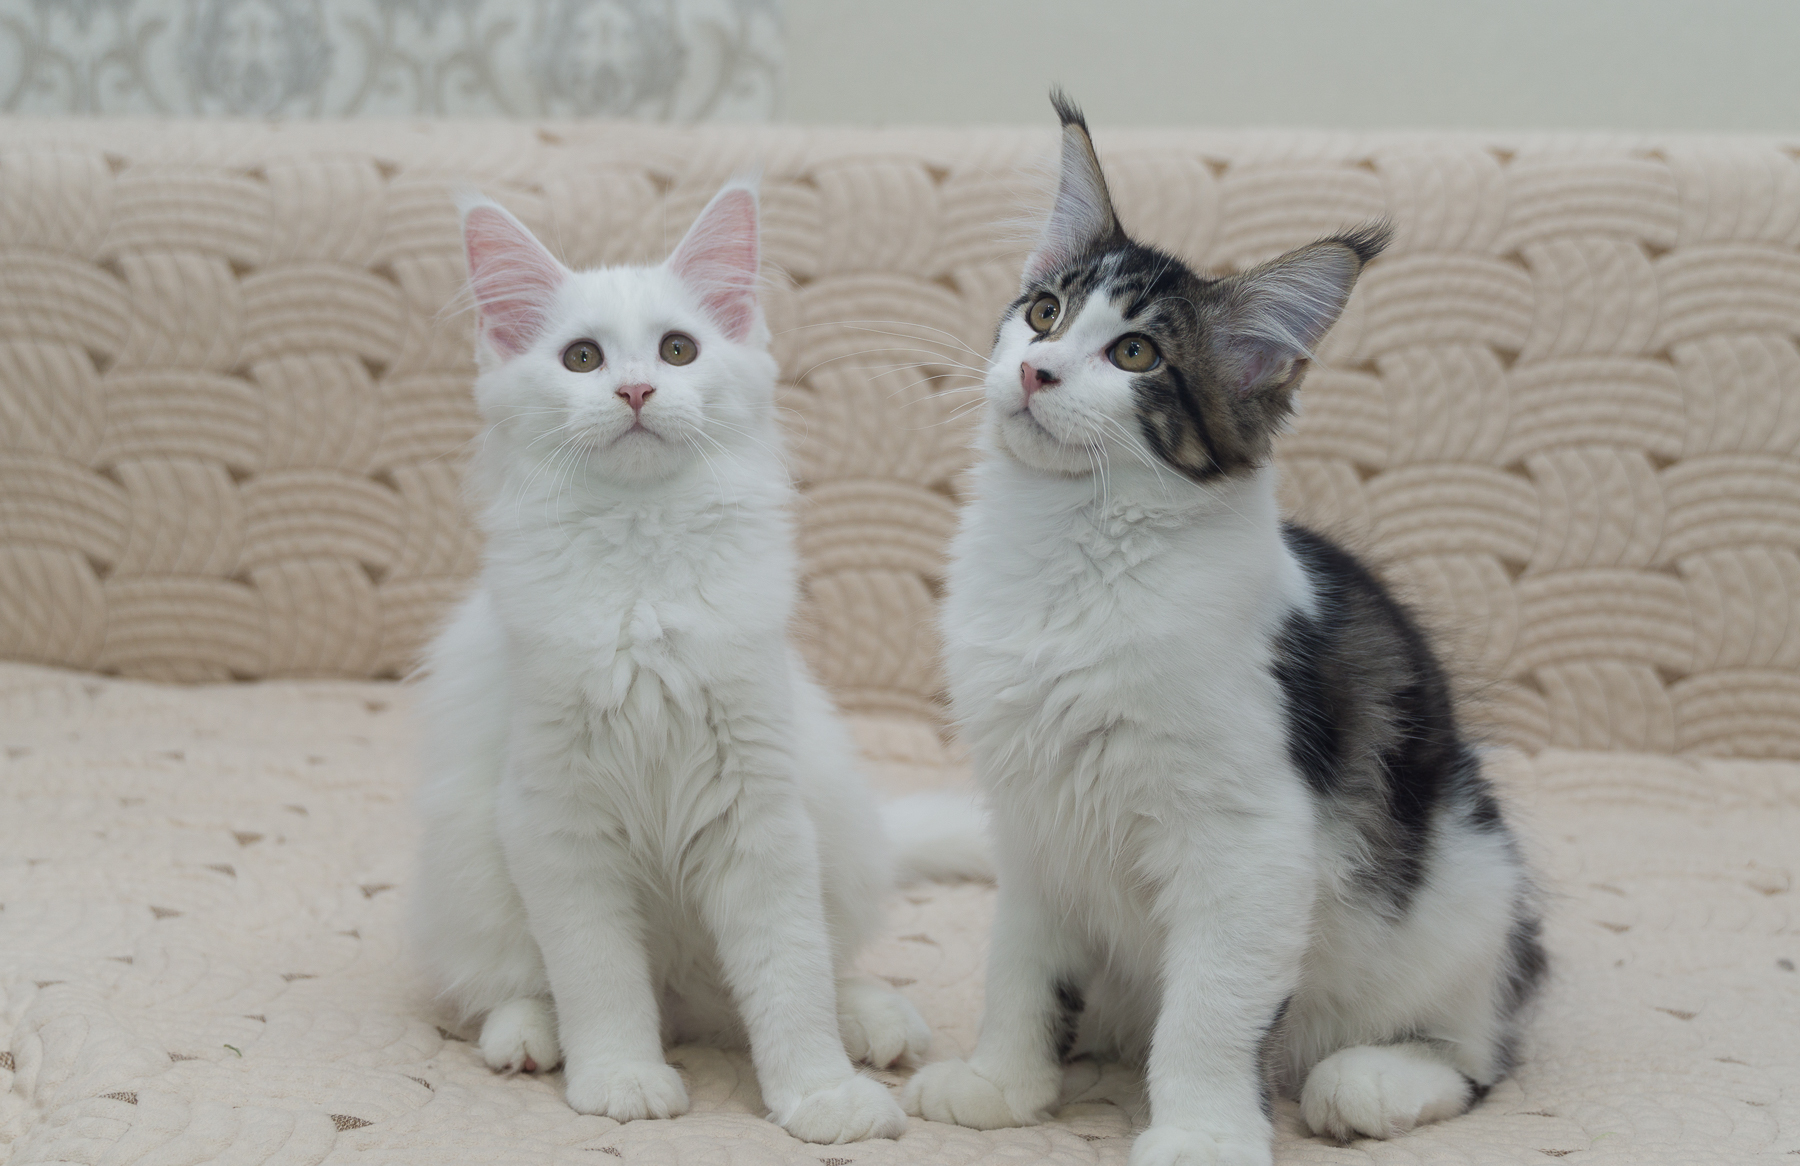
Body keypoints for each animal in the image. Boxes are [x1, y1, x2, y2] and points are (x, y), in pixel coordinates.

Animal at [408, 187, 943, 1144]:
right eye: (582, 358)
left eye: (678, 350)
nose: (635, 389)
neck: (642, 561)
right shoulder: (556, 821)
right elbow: (598, 978)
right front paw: (621, 1078)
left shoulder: (759, 808)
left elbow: (789, 980)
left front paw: (821, 1095)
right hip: (468, 867)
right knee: (513, 983)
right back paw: (529, 1037)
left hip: (835, 821)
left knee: (806, 973)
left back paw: (874, 1020)